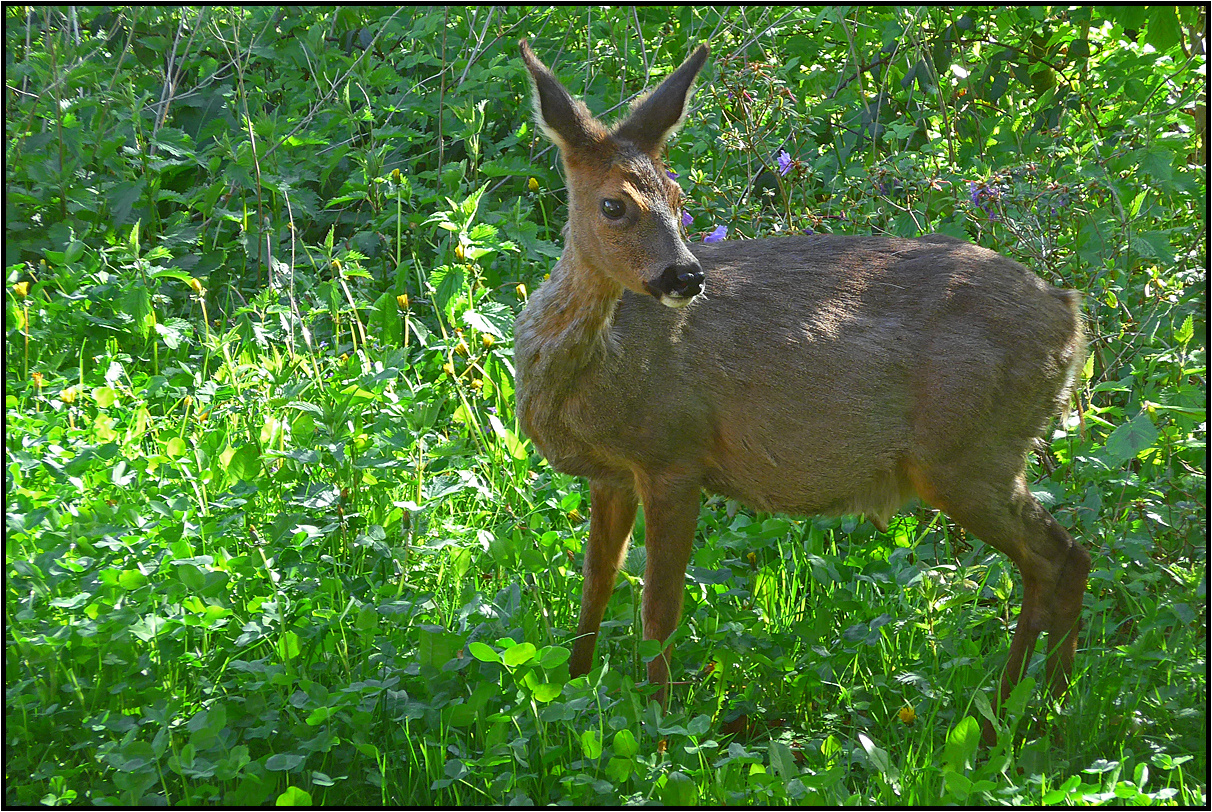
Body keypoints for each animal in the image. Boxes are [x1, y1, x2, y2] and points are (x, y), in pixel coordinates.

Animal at [511, 39, 1090, 746]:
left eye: (676, 194)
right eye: (613, 204)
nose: (686, 276)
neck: (597, 371)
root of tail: (1071, 320)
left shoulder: (675, 454)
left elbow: (659, 608)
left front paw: (660, 726)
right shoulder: (612, 474)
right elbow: (594, 587)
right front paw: (568, 689)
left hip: (970, 452)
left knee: (1058, 557)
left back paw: (1015, 716)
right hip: (984, 456)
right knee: (1063, 559)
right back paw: (1035, 708)